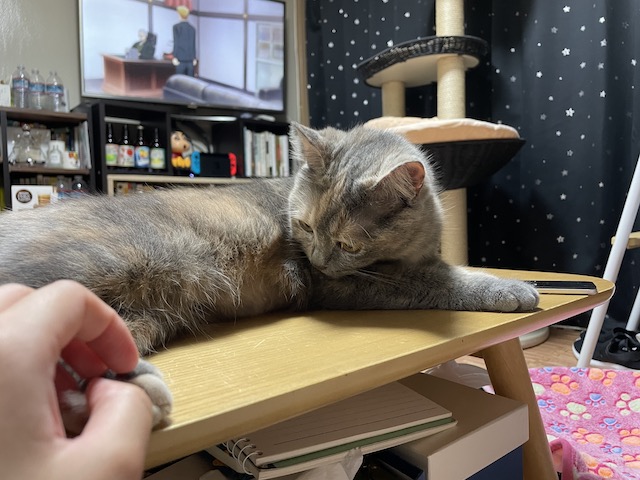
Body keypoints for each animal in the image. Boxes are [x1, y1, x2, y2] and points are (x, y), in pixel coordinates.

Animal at [0, 122, 539, 427]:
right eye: (304, 227)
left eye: (347, 243)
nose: (317, 258)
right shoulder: (343, 286)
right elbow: (438, 282)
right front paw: (513, 289)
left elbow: (444, 269)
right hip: (101, 269)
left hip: (143, 314)